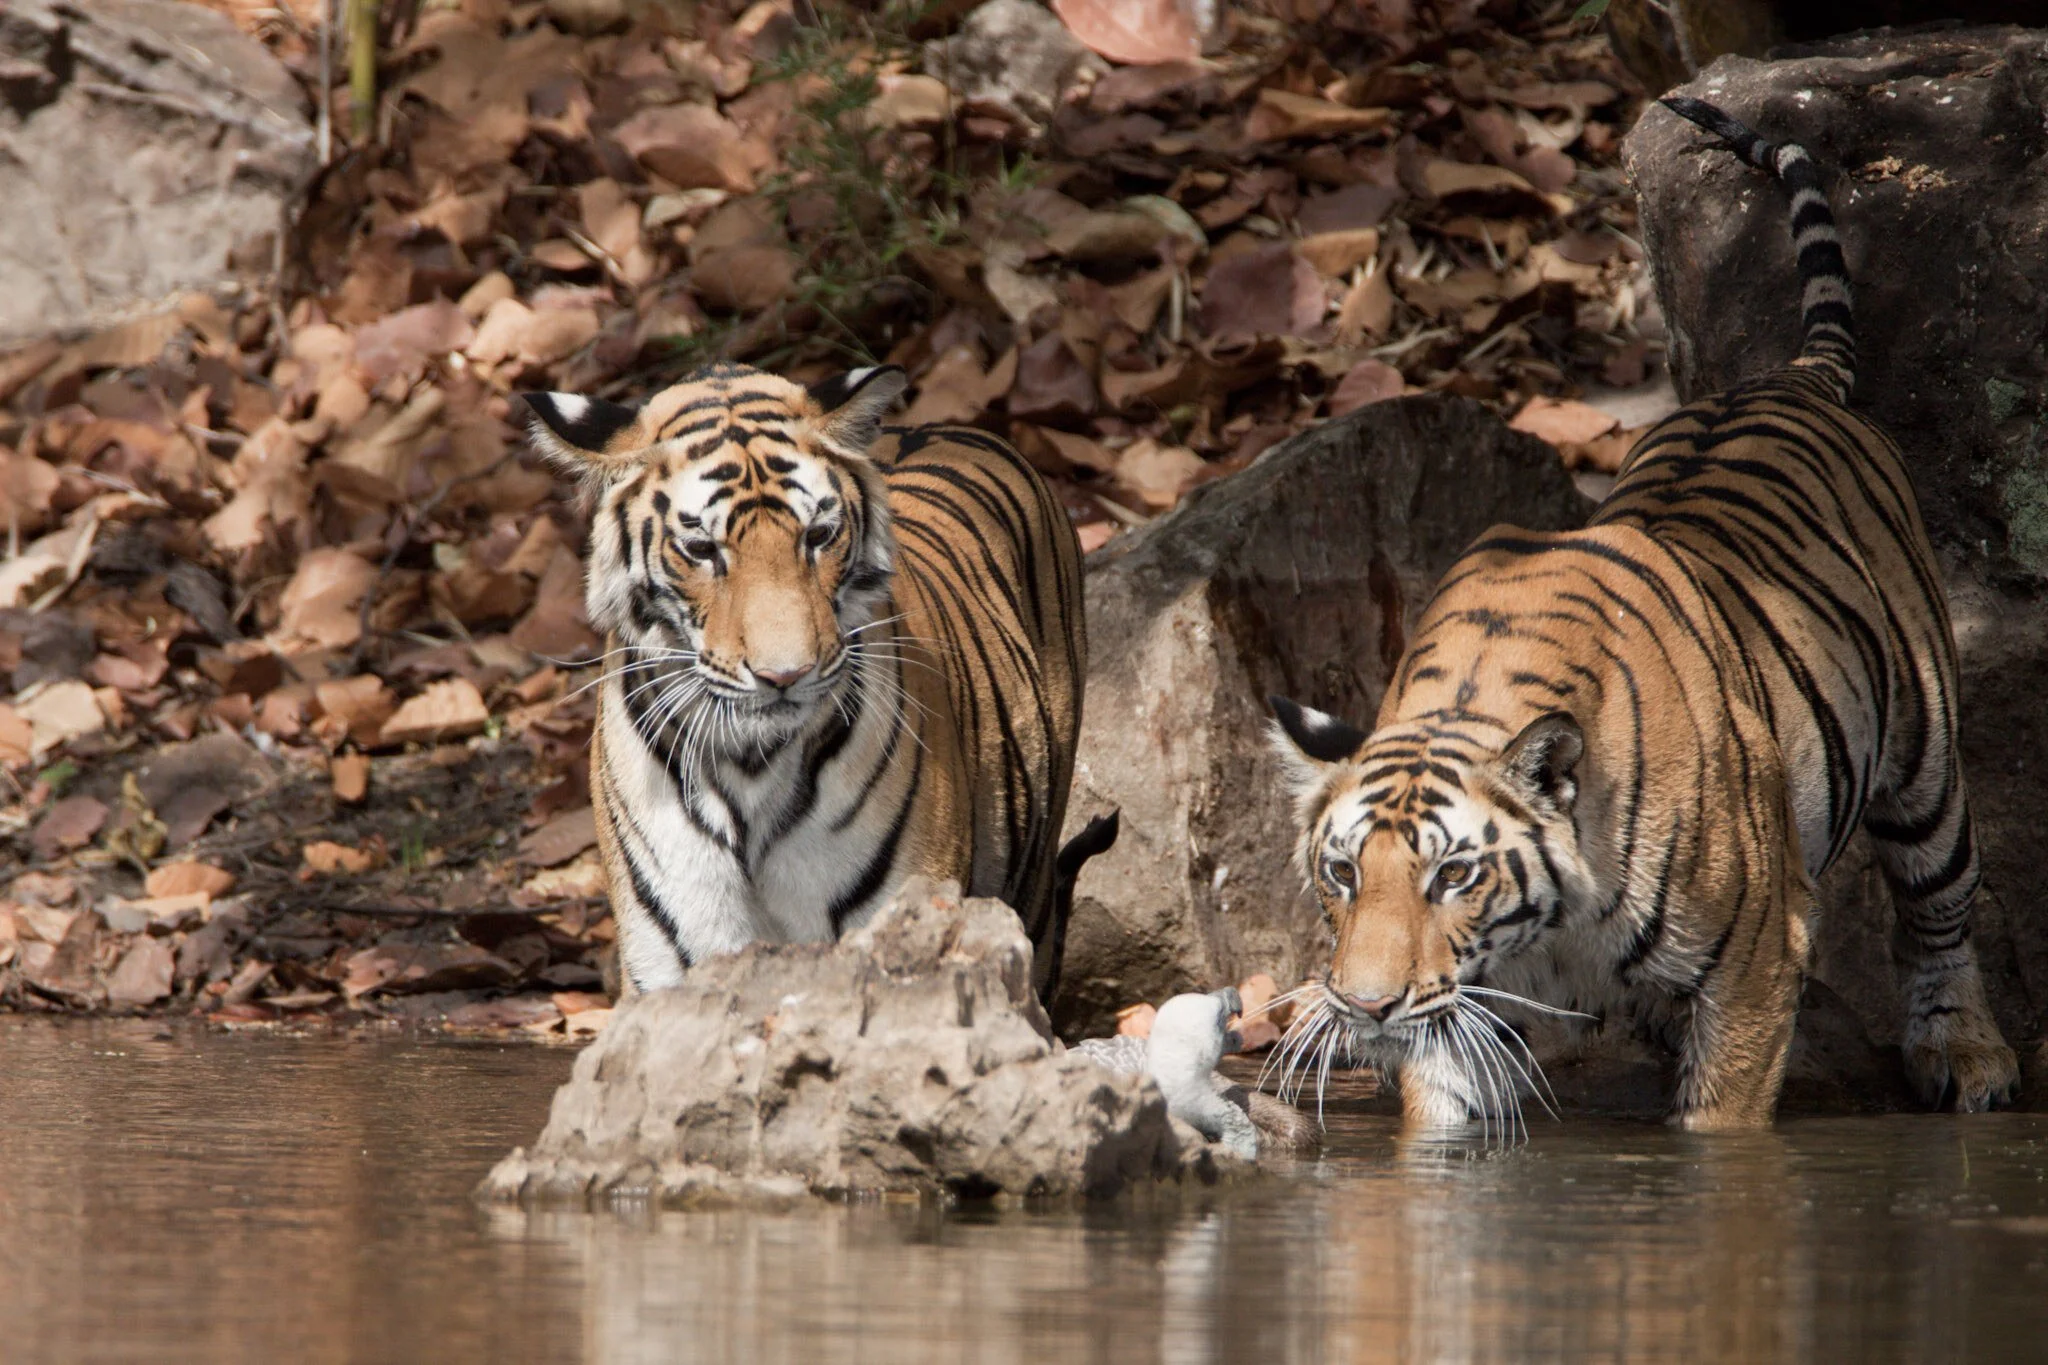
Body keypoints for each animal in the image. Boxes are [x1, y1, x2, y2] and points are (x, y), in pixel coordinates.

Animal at [1266, 96, 2020, 1132]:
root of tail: (1788, 377)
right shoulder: (1466, 1009)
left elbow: (1721, 1126)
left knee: (1941, 906)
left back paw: (1967, 1053)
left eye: (1453, 874)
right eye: (1343, 873)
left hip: (1925, 760)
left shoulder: (1755, 960)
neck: (1551, 929)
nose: (1365, 1005)